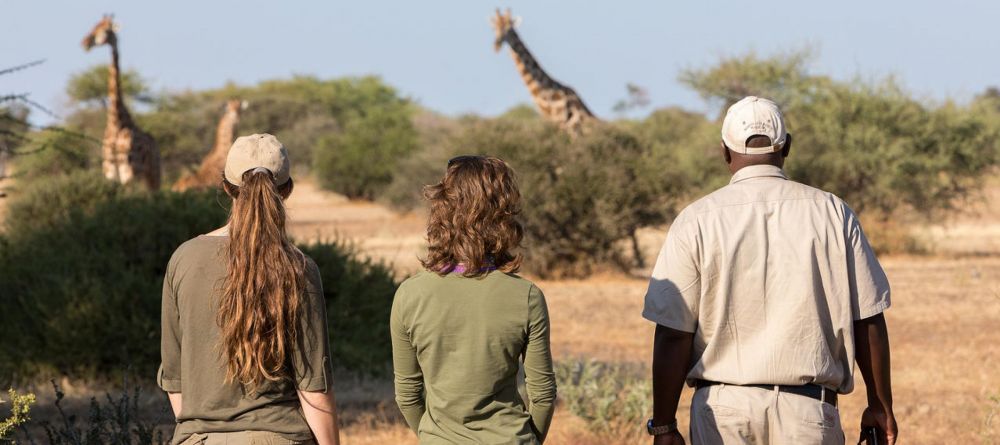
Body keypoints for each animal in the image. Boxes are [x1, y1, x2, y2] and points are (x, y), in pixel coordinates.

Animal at [82, 15, 160, 189]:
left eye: (104, 30)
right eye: (94, 26)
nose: (84, 42)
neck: (116, 123)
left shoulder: (128, 171)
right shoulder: (110, 171)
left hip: (152, 174)